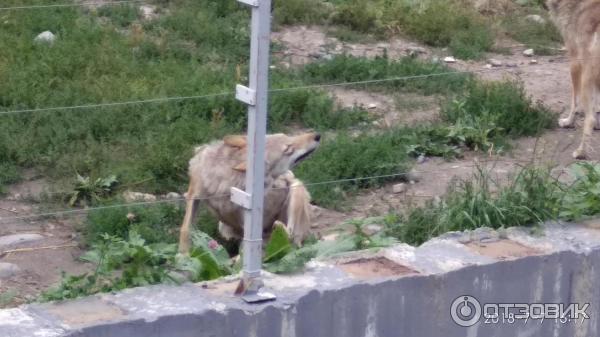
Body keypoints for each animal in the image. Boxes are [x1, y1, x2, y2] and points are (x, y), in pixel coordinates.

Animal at [178, 133, 322, 253]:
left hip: (296, 188)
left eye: (288, 136)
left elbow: (245, 246)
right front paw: (183, 255)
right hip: (223, 227)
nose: (317, 135)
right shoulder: (193, 195)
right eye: (288, 148)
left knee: (291, 238)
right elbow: (185, 229)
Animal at [548, 0, 600, 159]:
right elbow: (597, 104)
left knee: (589, 119)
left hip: (584, 81)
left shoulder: (575, 63)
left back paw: (580, 152)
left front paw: (568, 122)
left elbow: (574, 103)